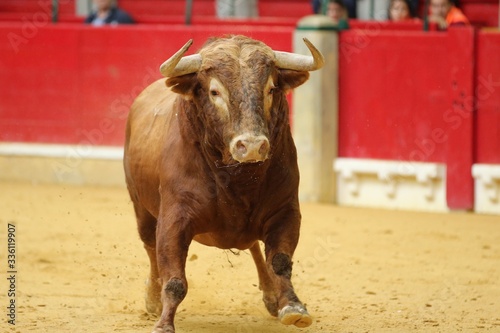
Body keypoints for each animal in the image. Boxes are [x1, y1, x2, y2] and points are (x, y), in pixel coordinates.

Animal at [124, 35, 324, 330]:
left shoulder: (286, 211)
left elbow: (279, 260)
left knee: (255, 246)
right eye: (214, 92)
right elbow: (174, 279)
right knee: (150, 247)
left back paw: (271, 296)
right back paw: (152, 299)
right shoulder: (174, 218)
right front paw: (163, 323)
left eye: (271, 89)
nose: (251, 146)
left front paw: (292, 306)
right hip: (141, 209)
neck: (238, 179)